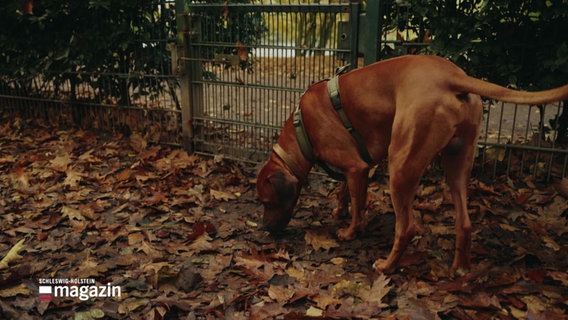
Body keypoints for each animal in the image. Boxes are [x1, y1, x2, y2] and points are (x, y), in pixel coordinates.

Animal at [258, 55, 568, 276]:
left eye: (266, 202)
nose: (265, 229)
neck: (302, 130)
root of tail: (453, 77)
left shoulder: (357, 167)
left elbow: (359, 207)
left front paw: (349, 231)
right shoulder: (356, 168)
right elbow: (345, 192)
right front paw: (339, 210)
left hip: (401, 166)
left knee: (406, 227)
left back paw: (387, 266)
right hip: (457, 163)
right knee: (465, 223)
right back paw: (460, 269)